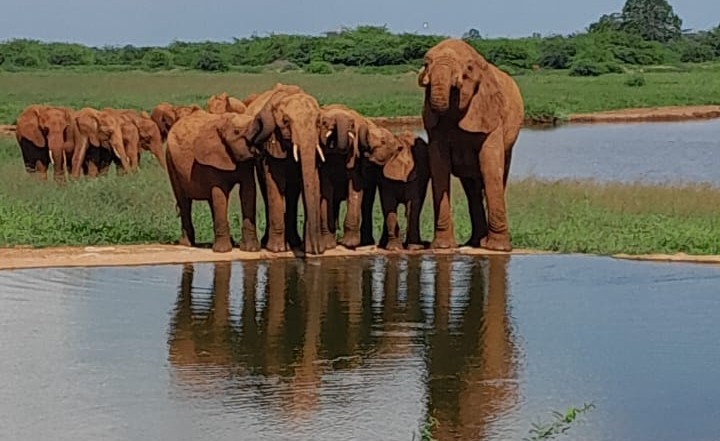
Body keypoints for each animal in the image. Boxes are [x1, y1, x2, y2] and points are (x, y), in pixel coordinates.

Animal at [166, 110, 260, 253]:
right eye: (237, 131)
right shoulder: (212, 159)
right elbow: (220, 194)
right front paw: (223, 251)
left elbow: (248, 192)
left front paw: (251, 249)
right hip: (170, 161)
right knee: (184, 202)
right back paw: (186, 244)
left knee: (210, 202)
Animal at [244, 83, 326, 255]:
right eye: (286, 121)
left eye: (318, 122)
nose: (315, 251)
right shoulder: (272, 140)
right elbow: (275, 183)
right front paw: (277, 249)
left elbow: (313, 180)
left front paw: (312, 249)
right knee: (266, 188)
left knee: (293, 193)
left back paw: (294, 242)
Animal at [418, 38, 524, 251]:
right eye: (426, 64)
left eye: (468, 68)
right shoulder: (434, 128)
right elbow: (439, 167)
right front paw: (442, 247)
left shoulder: (491, 114)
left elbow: (490, 166)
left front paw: (498, 249)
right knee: (472, 188)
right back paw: (475, 242)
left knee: (498, 175)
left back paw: (482, 243)